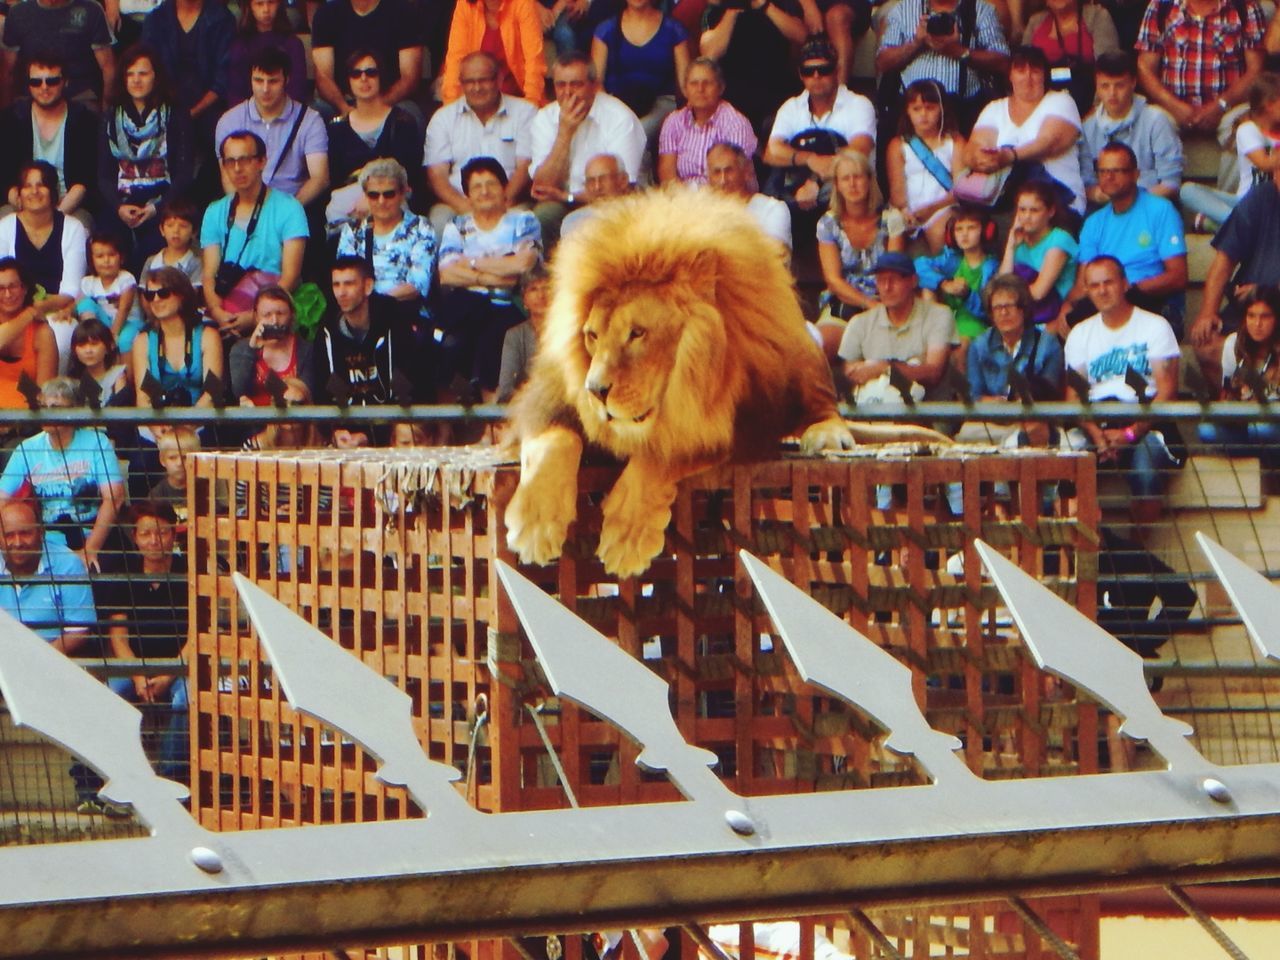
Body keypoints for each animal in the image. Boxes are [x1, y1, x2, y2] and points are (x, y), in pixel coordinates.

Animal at [506, 188, 942, 578]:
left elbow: (662, 458)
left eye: (637, 333)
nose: (595, 392)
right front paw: (535, 526)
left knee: (823, 406)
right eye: (592, 336)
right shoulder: (547, 401)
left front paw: (627, 536)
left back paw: (826, 434)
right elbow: (554, 442)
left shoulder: (736, 430)